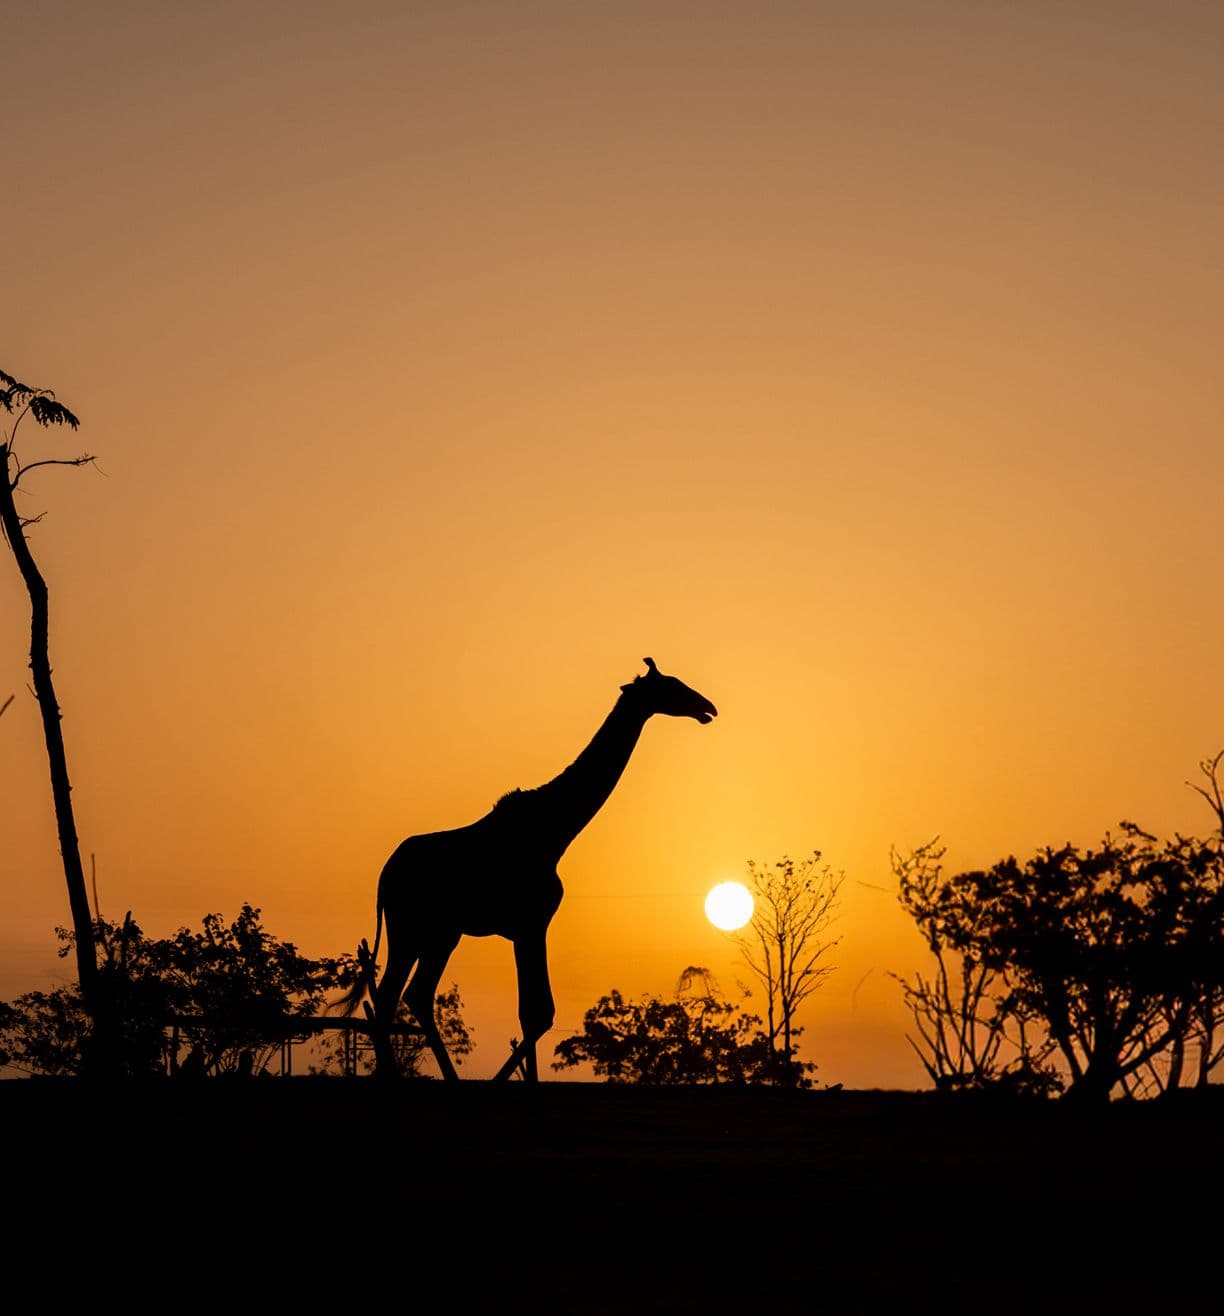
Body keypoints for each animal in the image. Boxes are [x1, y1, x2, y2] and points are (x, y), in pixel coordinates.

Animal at [348, 657, 717, 1082]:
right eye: (670, 685)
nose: (707, 707)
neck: (555, 830)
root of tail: (384, 876)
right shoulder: (532, 922)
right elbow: (538, 1013)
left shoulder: (526, 927)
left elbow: (534, 1014)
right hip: (415, 927)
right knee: (399, 996)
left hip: (435, 932)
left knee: (405, 995)